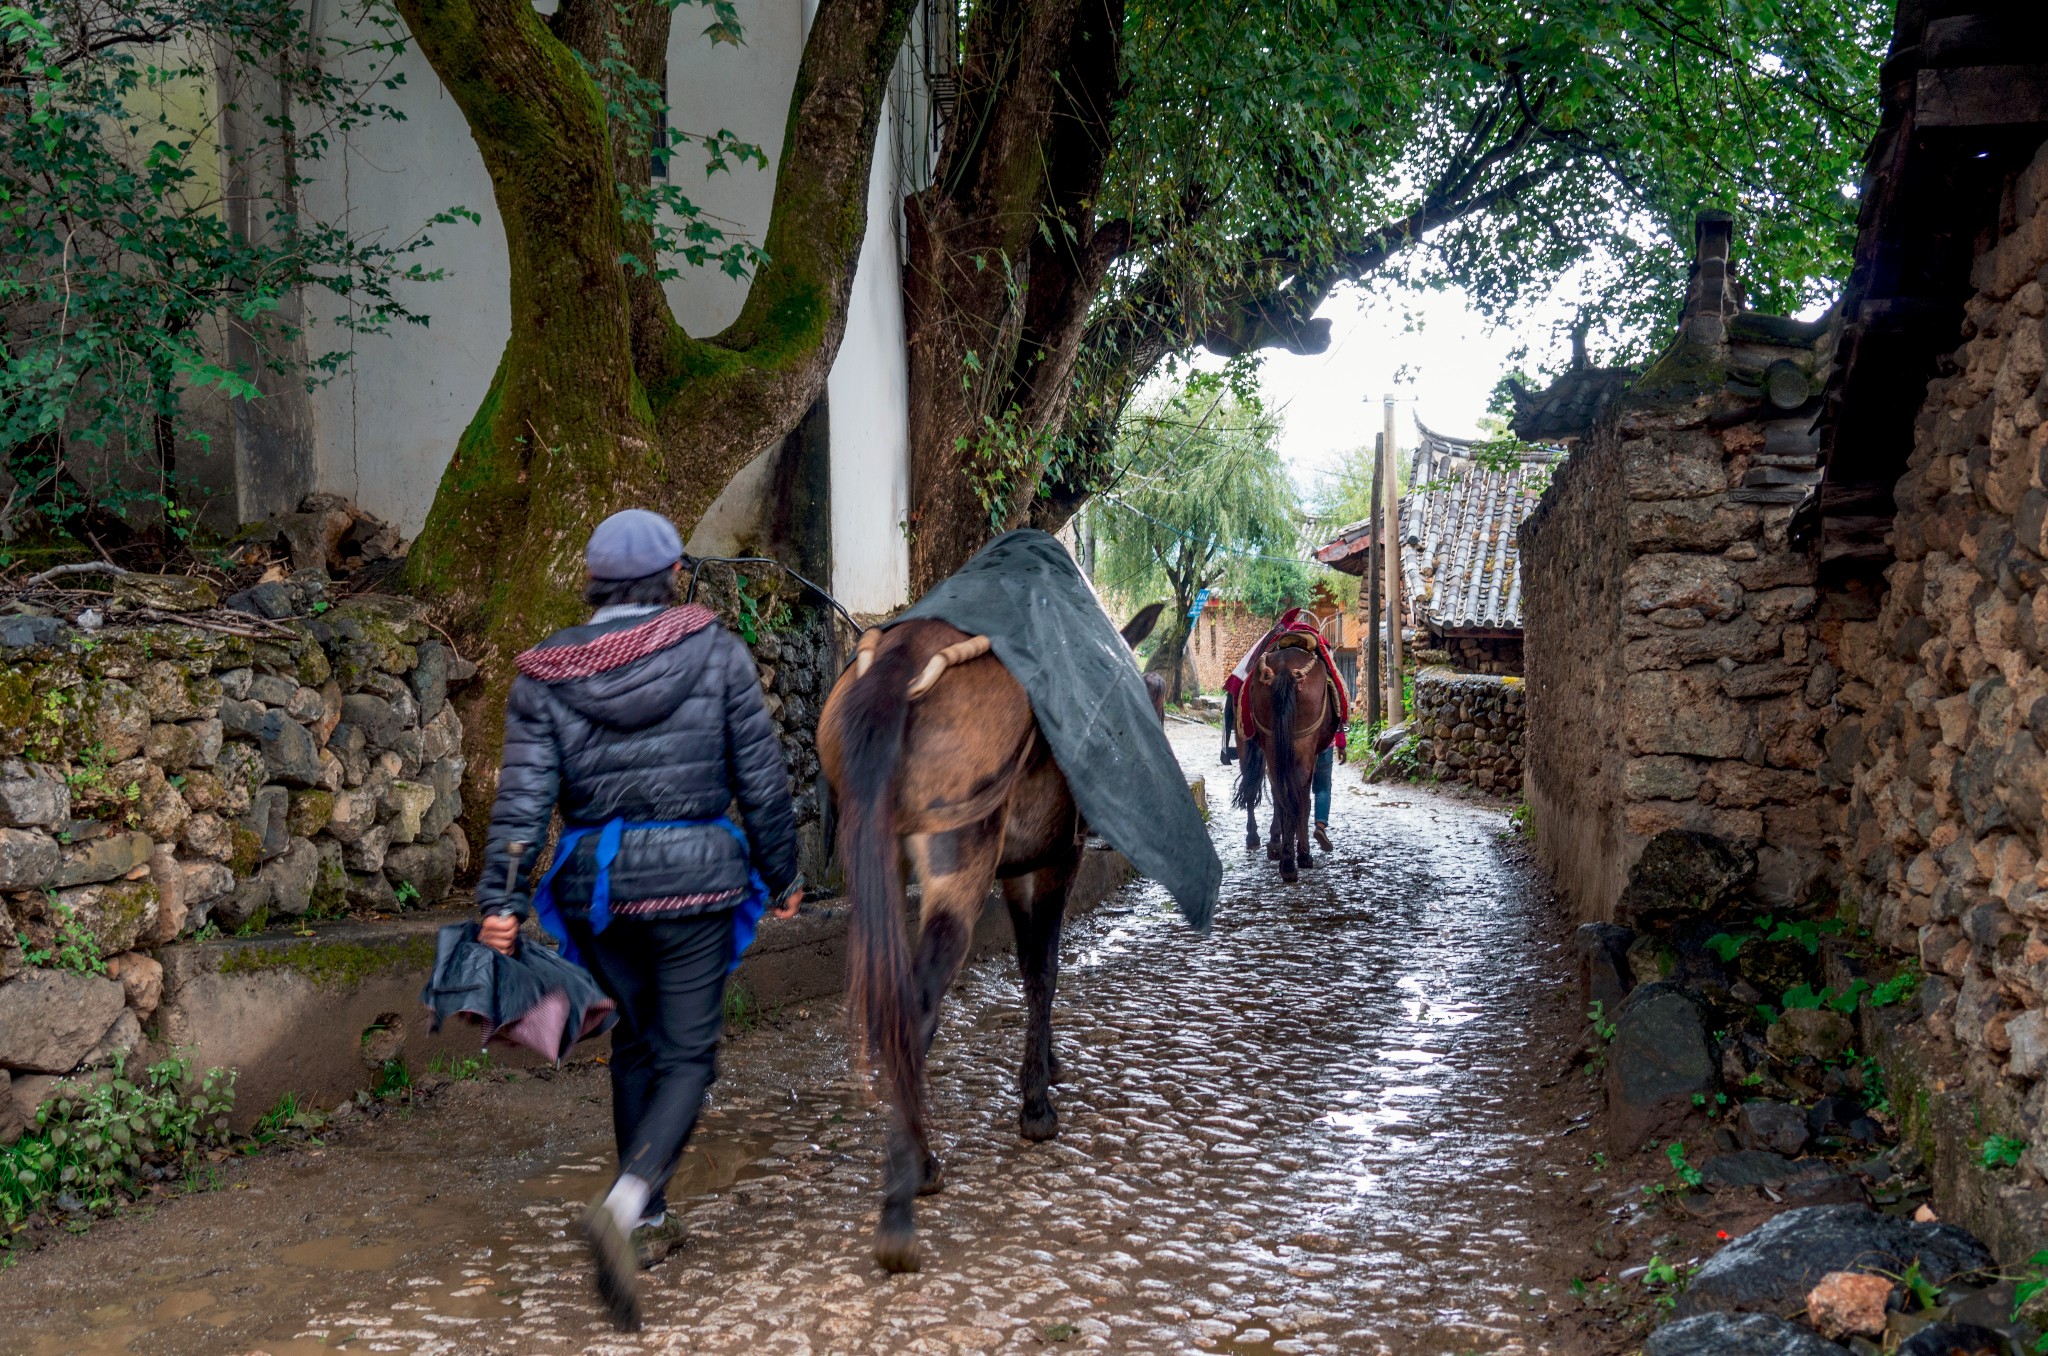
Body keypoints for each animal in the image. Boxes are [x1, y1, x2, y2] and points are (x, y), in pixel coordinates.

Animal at [819, 602, 1171, 1278]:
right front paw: (1036, 1107)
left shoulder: (1015, 872)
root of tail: (901, 658)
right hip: (961, 862)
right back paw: (905, 1198)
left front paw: (1047, 1067)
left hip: (883, 860)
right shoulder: (1057, 861)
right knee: (917, 1008)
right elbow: (1045, 971)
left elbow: (1031, 969)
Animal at [1236, 639, 1335, 880]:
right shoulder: (1311, 752)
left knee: (1273, 791)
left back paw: (1274, 849)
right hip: (1301, 743)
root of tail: (1284, 670)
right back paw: (1294, 859)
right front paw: (1302, 852)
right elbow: (1305, 798)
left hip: (1269, 745)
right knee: (1295, 793)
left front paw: (1277, 844)